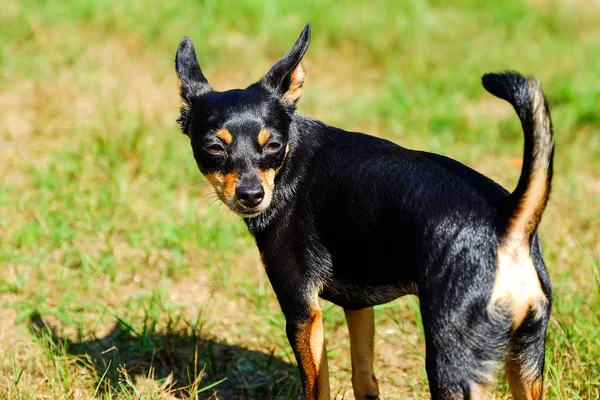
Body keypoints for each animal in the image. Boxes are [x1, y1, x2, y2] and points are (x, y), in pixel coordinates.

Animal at [172, 25, 552, 400]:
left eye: (274, 146)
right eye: (214, 148)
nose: (252, 195)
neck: (288, 165)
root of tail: (507, 221)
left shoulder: (302, 313)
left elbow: (318, 387)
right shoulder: (357, 307)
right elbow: (364, 378)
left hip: (452, 361)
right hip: (526, 358)